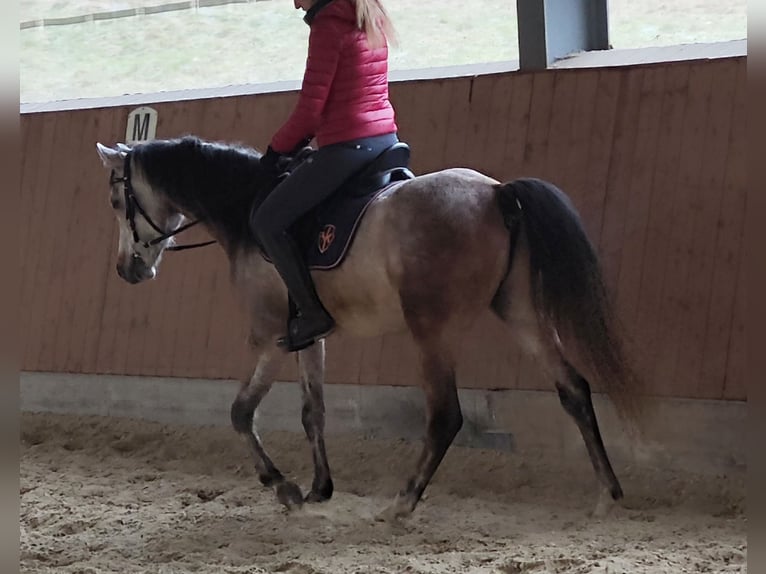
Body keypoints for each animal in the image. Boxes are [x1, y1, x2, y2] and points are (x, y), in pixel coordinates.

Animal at [95, 135, 643, 521]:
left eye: (118, 203)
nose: (127, 269)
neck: (245, 209)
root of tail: (496, 193)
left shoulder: (270, 338)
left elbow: (240, 413)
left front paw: (284, 488)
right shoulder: (309, 338)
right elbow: (312, 412)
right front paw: (319, 488)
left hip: (432, 332)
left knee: (446, 416)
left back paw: (403, 502)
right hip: (521, 313)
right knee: (573, 389)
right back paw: (607, 494)